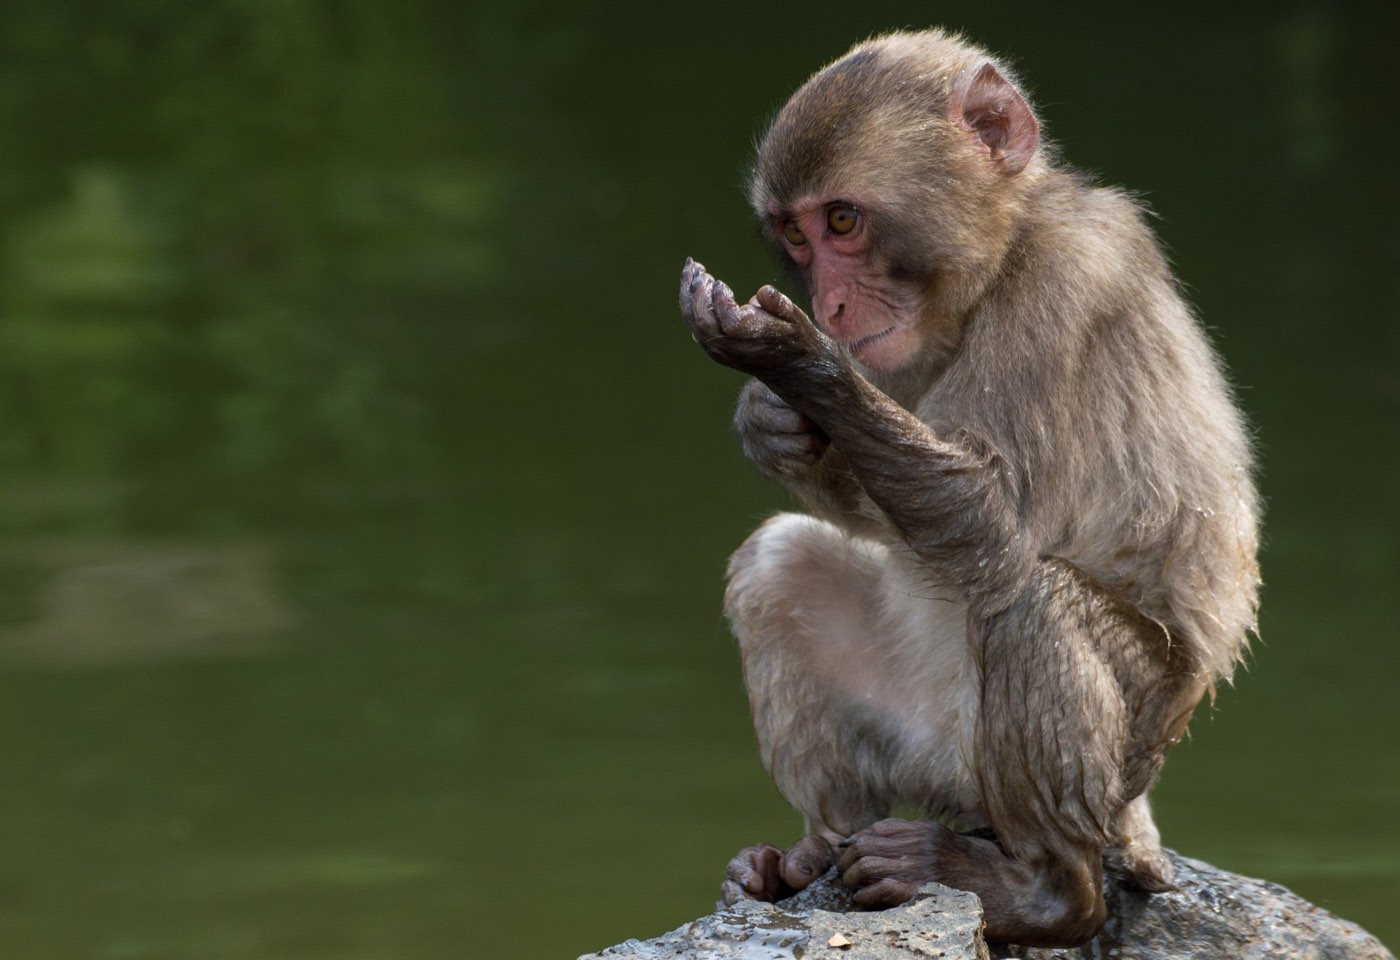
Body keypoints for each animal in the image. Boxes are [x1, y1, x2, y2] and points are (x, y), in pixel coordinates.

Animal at [676, 29, 1260, 947]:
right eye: (796, 237)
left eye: (842, 221)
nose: (829, 306)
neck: (1002, 253)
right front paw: (773, 422)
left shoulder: (1069, 275)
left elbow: (985, 516)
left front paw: (792, 361)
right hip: (930, 749)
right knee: (781, 563)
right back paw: (811, 854)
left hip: (1128, 752)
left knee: (1032, 594)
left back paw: (1045, 892)